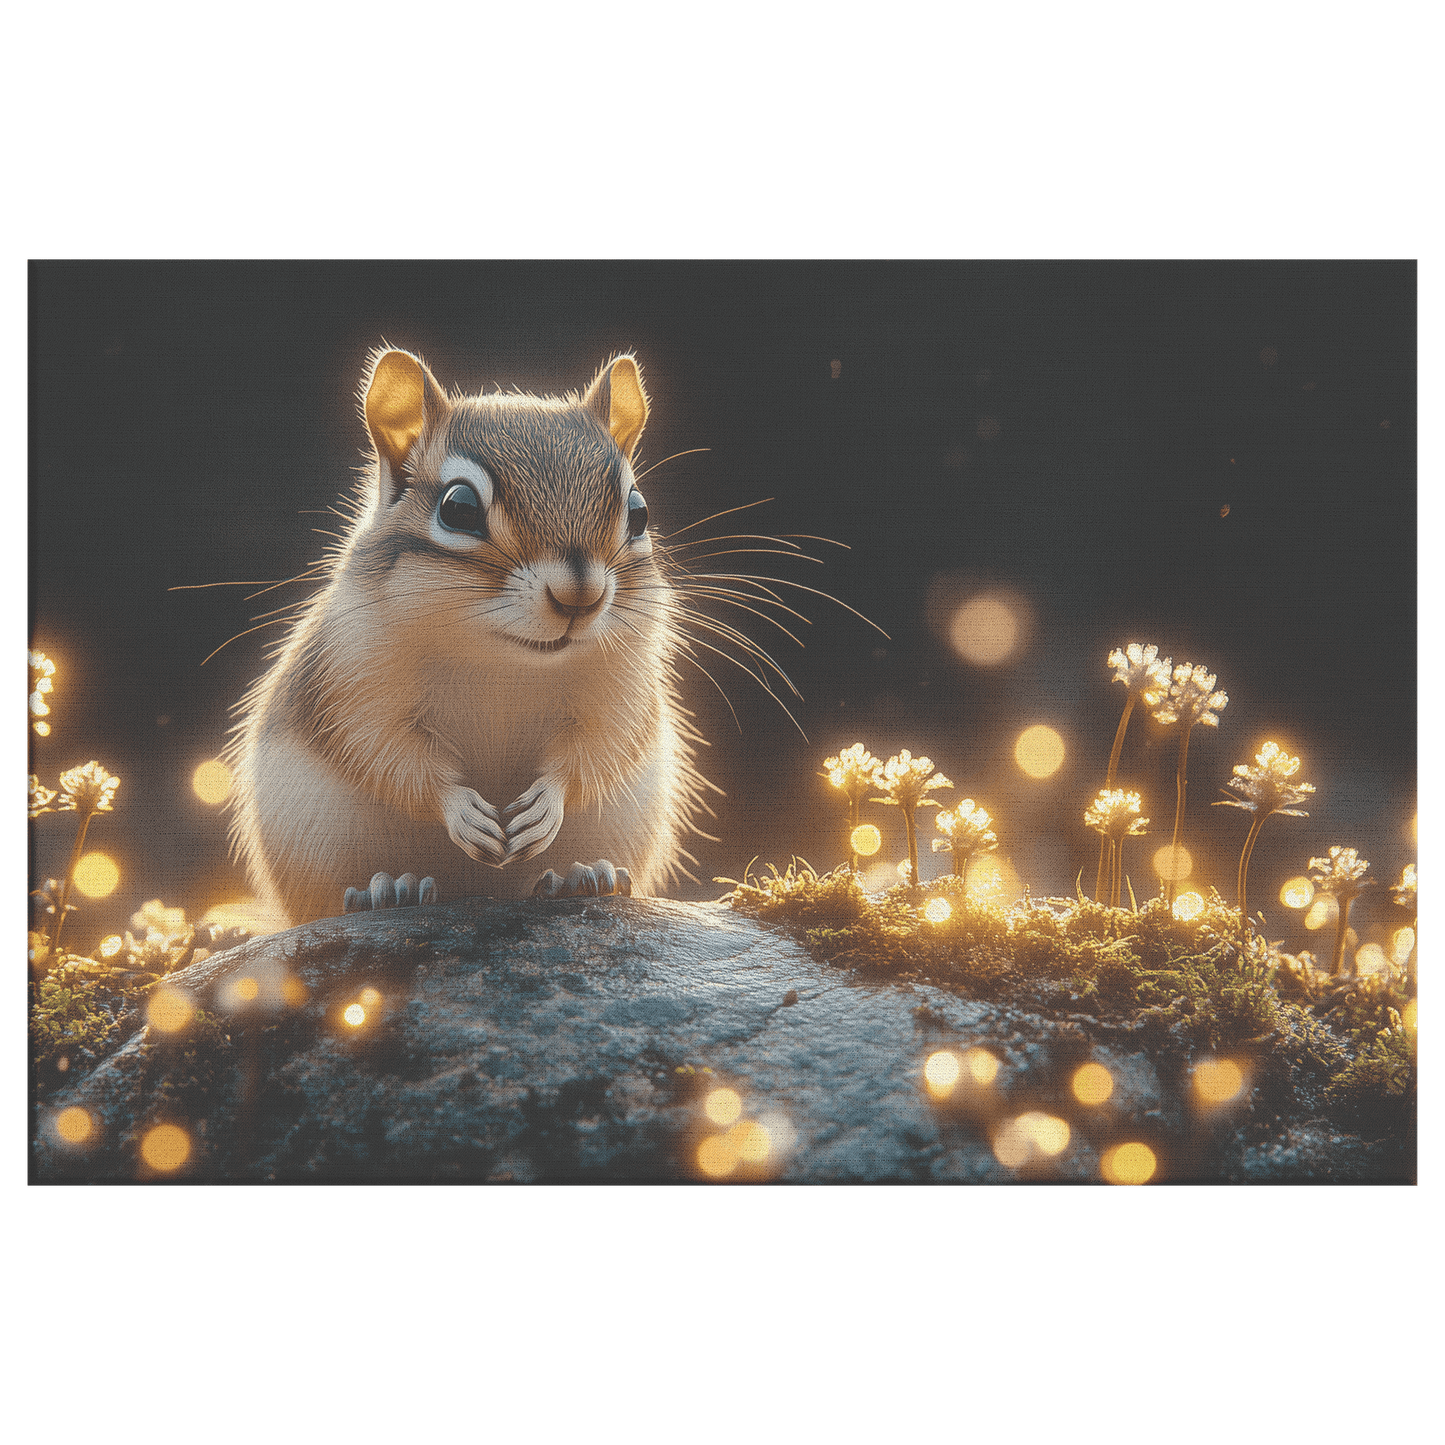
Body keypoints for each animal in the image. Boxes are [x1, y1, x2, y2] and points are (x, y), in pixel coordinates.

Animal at [225, 347, 714, 926]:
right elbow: (393, 759)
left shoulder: (621, 694)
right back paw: (389, 889)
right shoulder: (355, 687)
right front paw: (461, 811)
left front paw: (547, 807)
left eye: (639, 514)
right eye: (458, 509)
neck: (503, 659)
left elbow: (595, 754)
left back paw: (582, 877)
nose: (581, 596)